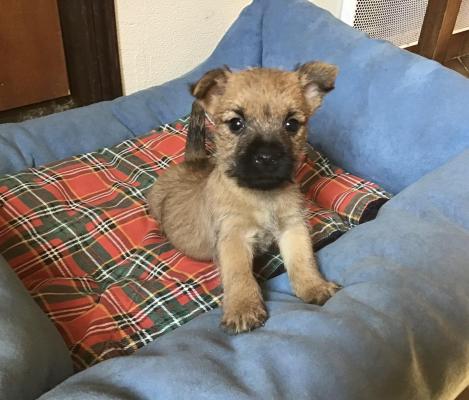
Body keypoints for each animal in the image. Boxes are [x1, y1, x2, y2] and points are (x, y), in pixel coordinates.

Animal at [148, 61, 338, 332]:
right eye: (236, 124)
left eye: (291, 124)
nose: (267, 157)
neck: (262, 194)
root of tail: (193, 160)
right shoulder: (233, 236)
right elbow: (238, 273)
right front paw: (243, 308)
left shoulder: (293, 227)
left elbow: (303, 259)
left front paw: (314, 286)